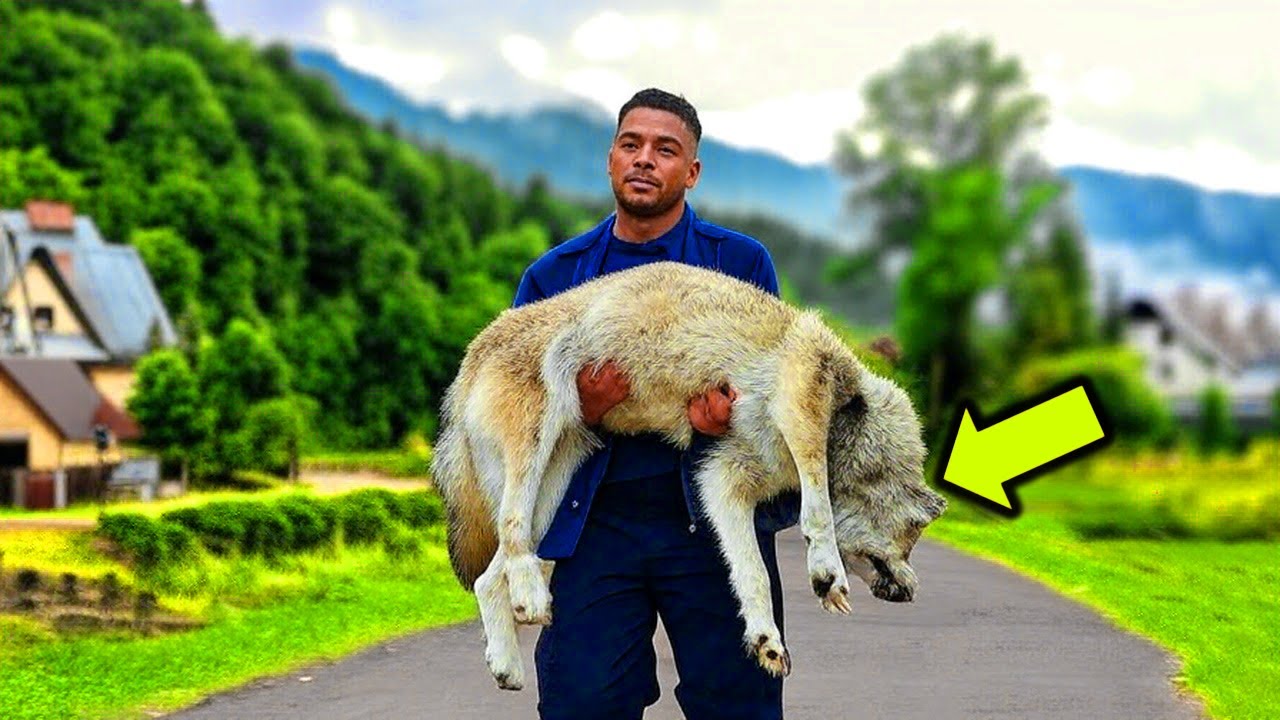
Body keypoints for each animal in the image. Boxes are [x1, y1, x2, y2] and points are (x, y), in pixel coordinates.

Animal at [432, 261, 947, 690]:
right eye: (912, 539)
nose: (912, 593)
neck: (848, 422)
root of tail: (472, 353)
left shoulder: (722, 481)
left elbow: (753, 573)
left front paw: (768, 641)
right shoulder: (802, 405)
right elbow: (816, 508)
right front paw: (826, 575)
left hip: (557, 485)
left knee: (488, 578)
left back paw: (508, 664)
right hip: (535, 451)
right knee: (511, 535)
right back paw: (532, 599)